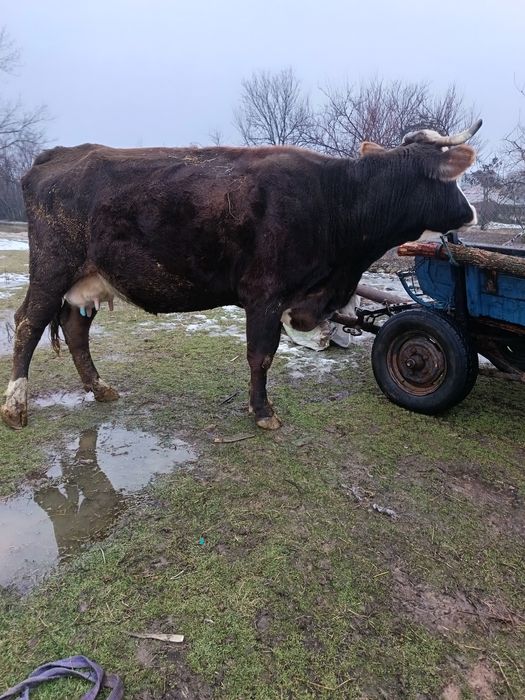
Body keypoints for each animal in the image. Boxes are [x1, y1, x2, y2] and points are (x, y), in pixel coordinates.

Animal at [1, 120, 481, 430]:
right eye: (453, 178)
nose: (472, 213)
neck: (337, 199)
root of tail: (57, 155)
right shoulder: (265, 294)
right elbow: (261, 356)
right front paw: (263, 412)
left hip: (88, 278)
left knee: (73, 328)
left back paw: (99, 389)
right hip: (52, 267)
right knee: (27, 323)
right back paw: (16, 407)